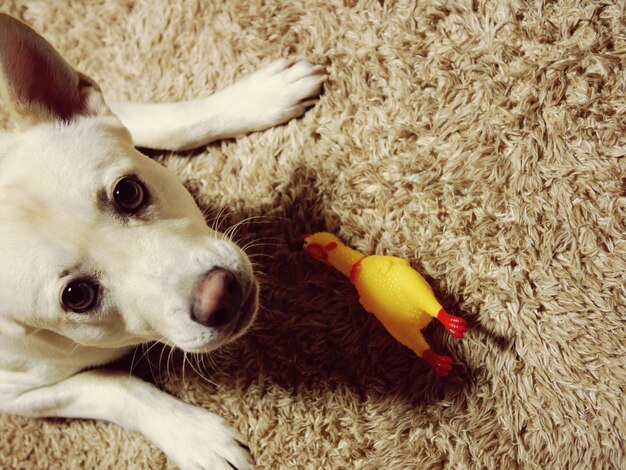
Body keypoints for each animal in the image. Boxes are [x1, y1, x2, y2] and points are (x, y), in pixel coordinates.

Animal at [0, 12, 324, 468]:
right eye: (77, 296)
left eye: (128, 192)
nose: (219, 295)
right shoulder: (19, 396)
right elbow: (115, 388)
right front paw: (196, 438)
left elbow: (157, 119)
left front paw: (253, 97)